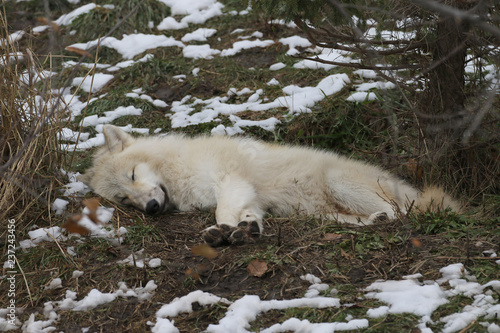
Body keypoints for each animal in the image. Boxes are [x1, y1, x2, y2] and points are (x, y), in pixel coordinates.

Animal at [79, 124, 460, 244]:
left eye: (132, 175)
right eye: (124, 199)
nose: (151, 208)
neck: (178, 168)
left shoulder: (229, 180)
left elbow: (223, 210)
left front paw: (226, 229)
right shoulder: (246, 195)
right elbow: (247, 214)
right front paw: (244, 227)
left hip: (342, 184)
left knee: (398, 211)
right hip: (320, 214)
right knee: (365, 219)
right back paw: (370, 223)